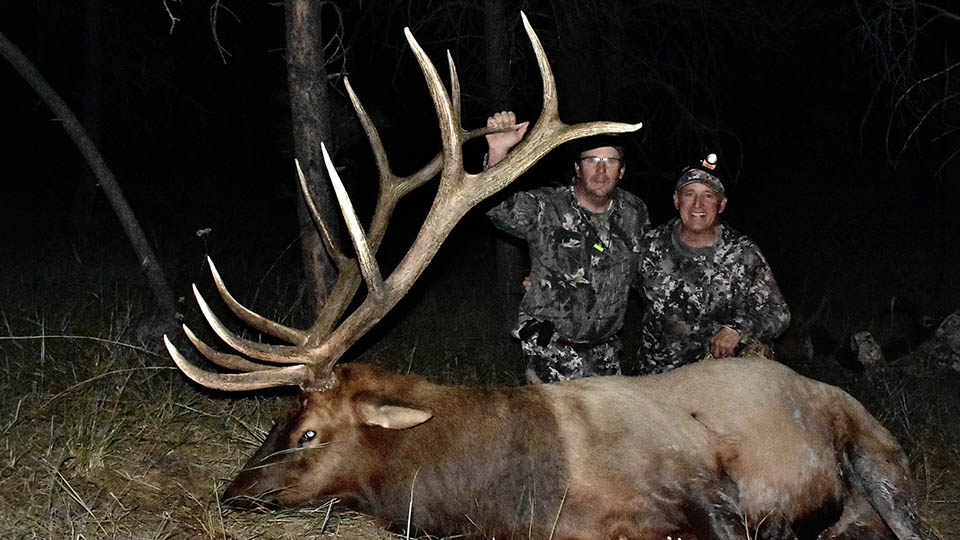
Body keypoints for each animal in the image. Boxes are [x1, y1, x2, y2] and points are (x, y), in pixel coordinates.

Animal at [164, 12, 930, 540]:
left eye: (309, 433)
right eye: (278, 419)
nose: (233, 490)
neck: (524, 493)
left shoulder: (705, 489)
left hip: (879, 458)